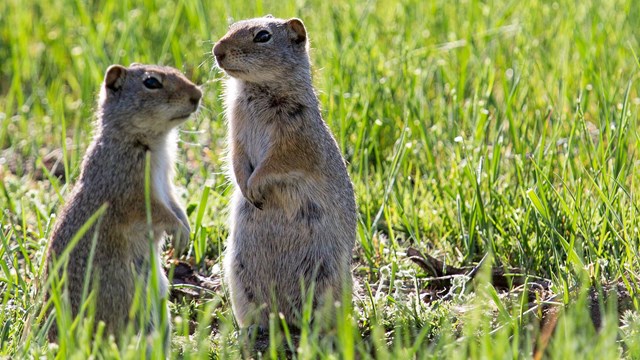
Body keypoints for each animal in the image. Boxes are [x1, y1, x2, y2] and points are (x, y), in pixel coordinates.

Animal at [45, 63, 200, 348]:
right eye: (151, 83)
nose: (198, 95)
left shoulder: (166, 184)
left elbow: (175, 204)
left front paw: (185, 228)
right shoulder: (132, 192)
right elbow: (157, 211)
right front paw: (179, 231)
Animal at [212, 16, 358, 330]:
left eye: (263, 36)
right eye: (232, 27)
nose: (217, 51)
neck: (257, 90)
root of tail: (285, 318)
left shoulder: (294, 138)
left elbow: (277, 162)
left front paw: (255, 186)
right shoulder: (235, 131)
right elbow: (236, 157)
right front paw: (246, 187)